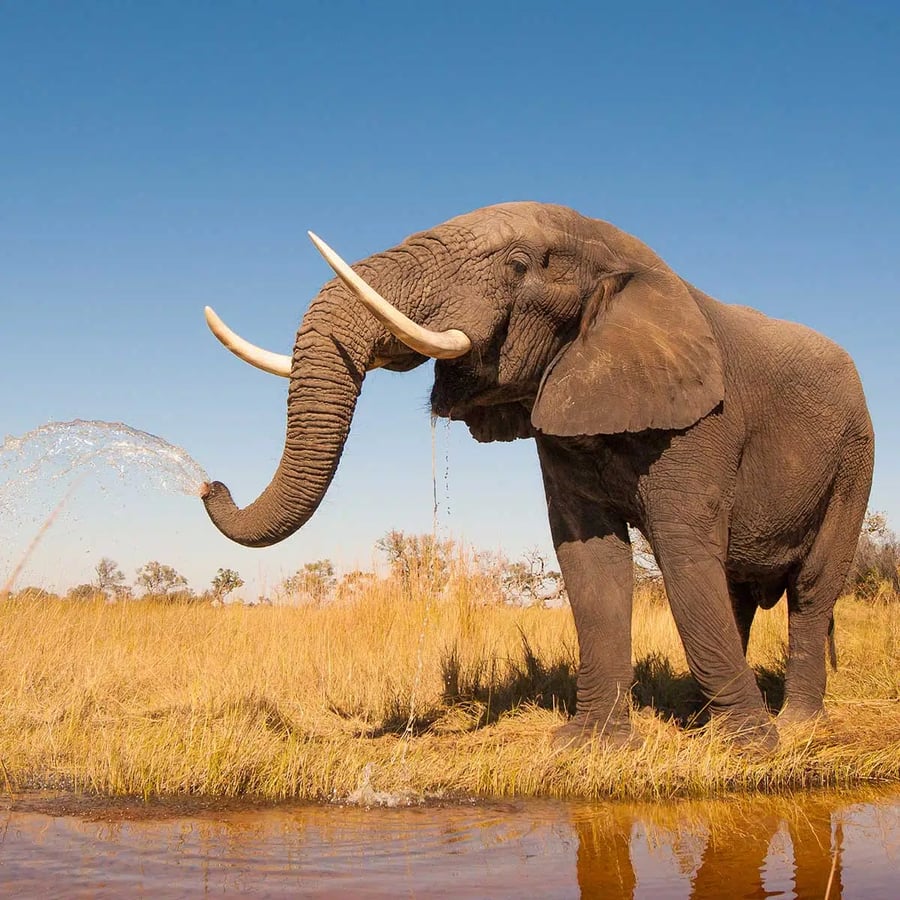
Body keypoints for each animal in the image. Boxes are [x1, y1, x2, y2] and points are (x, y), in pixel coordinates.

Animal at [200, 202, 874, 751]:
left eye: (520, 264)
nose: (211, 485)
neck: (626, 258)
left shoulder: (705, 422)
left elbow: (683, 553)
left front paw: (749, 750)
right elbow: (589, 557)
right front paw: (587, 746)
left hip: (855, 459)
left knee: (811, 588)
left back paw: (792, 726)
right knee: (735, 589)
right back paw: (713, 716)